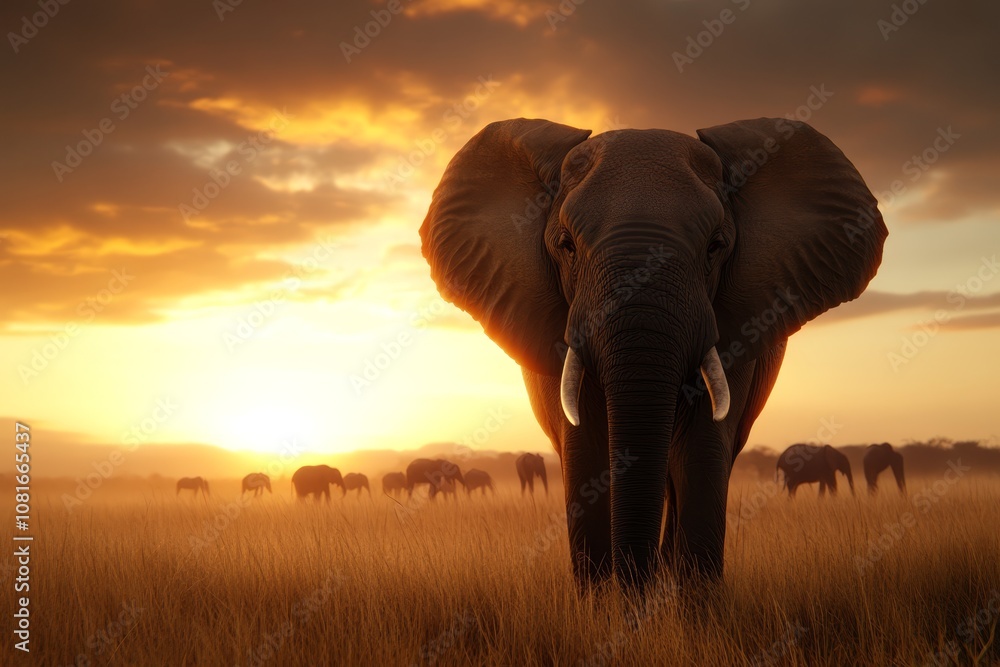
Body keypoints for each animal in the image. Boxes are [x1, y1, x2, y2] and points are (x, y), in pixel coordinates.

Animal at [420, 117, 885, 590]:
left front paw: (689, 605)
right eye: (566, 245)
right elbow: (586, 454)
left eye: (716, 246)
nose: (635, 589)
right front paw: (605, 603)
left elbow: (702, 452)